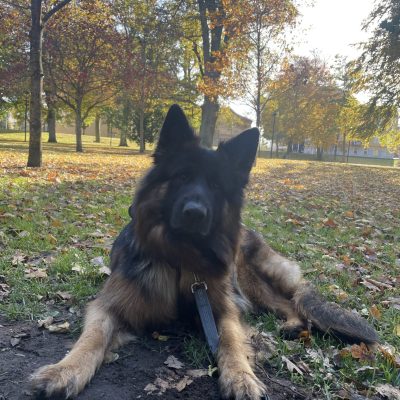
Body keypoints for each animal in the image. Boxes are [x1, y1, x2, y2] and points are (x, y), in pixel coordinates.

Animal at [30, 105, 378, 399]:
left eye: (215, 186)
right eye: (182, 176)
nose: (195, 213)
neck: (180, 258)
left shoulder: (223, 309)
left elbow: (231, 341)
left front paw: (241, 377)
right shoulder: (109, 305)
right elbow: (92, 337)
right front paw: (65, 370)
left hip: (248, 281)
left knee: (289, 302)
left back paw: (292, 325)